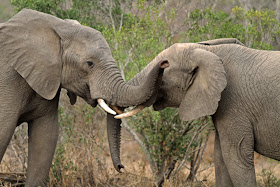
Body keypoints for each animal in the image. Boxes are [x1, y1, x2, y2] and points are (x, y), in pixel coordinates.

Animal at [0, 8, 168, 186]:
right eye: (90, 64)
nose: (122, 167)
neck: (59, 27)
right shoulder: (8, 81)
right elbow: (4, 132)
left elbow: (46, 138)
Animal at [115, 37, 280, 186]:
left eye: (165, 71)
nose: (121, 167)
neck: (209, 50)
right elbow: (221, 158)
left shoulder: (235, 104)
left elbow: (236, 156)